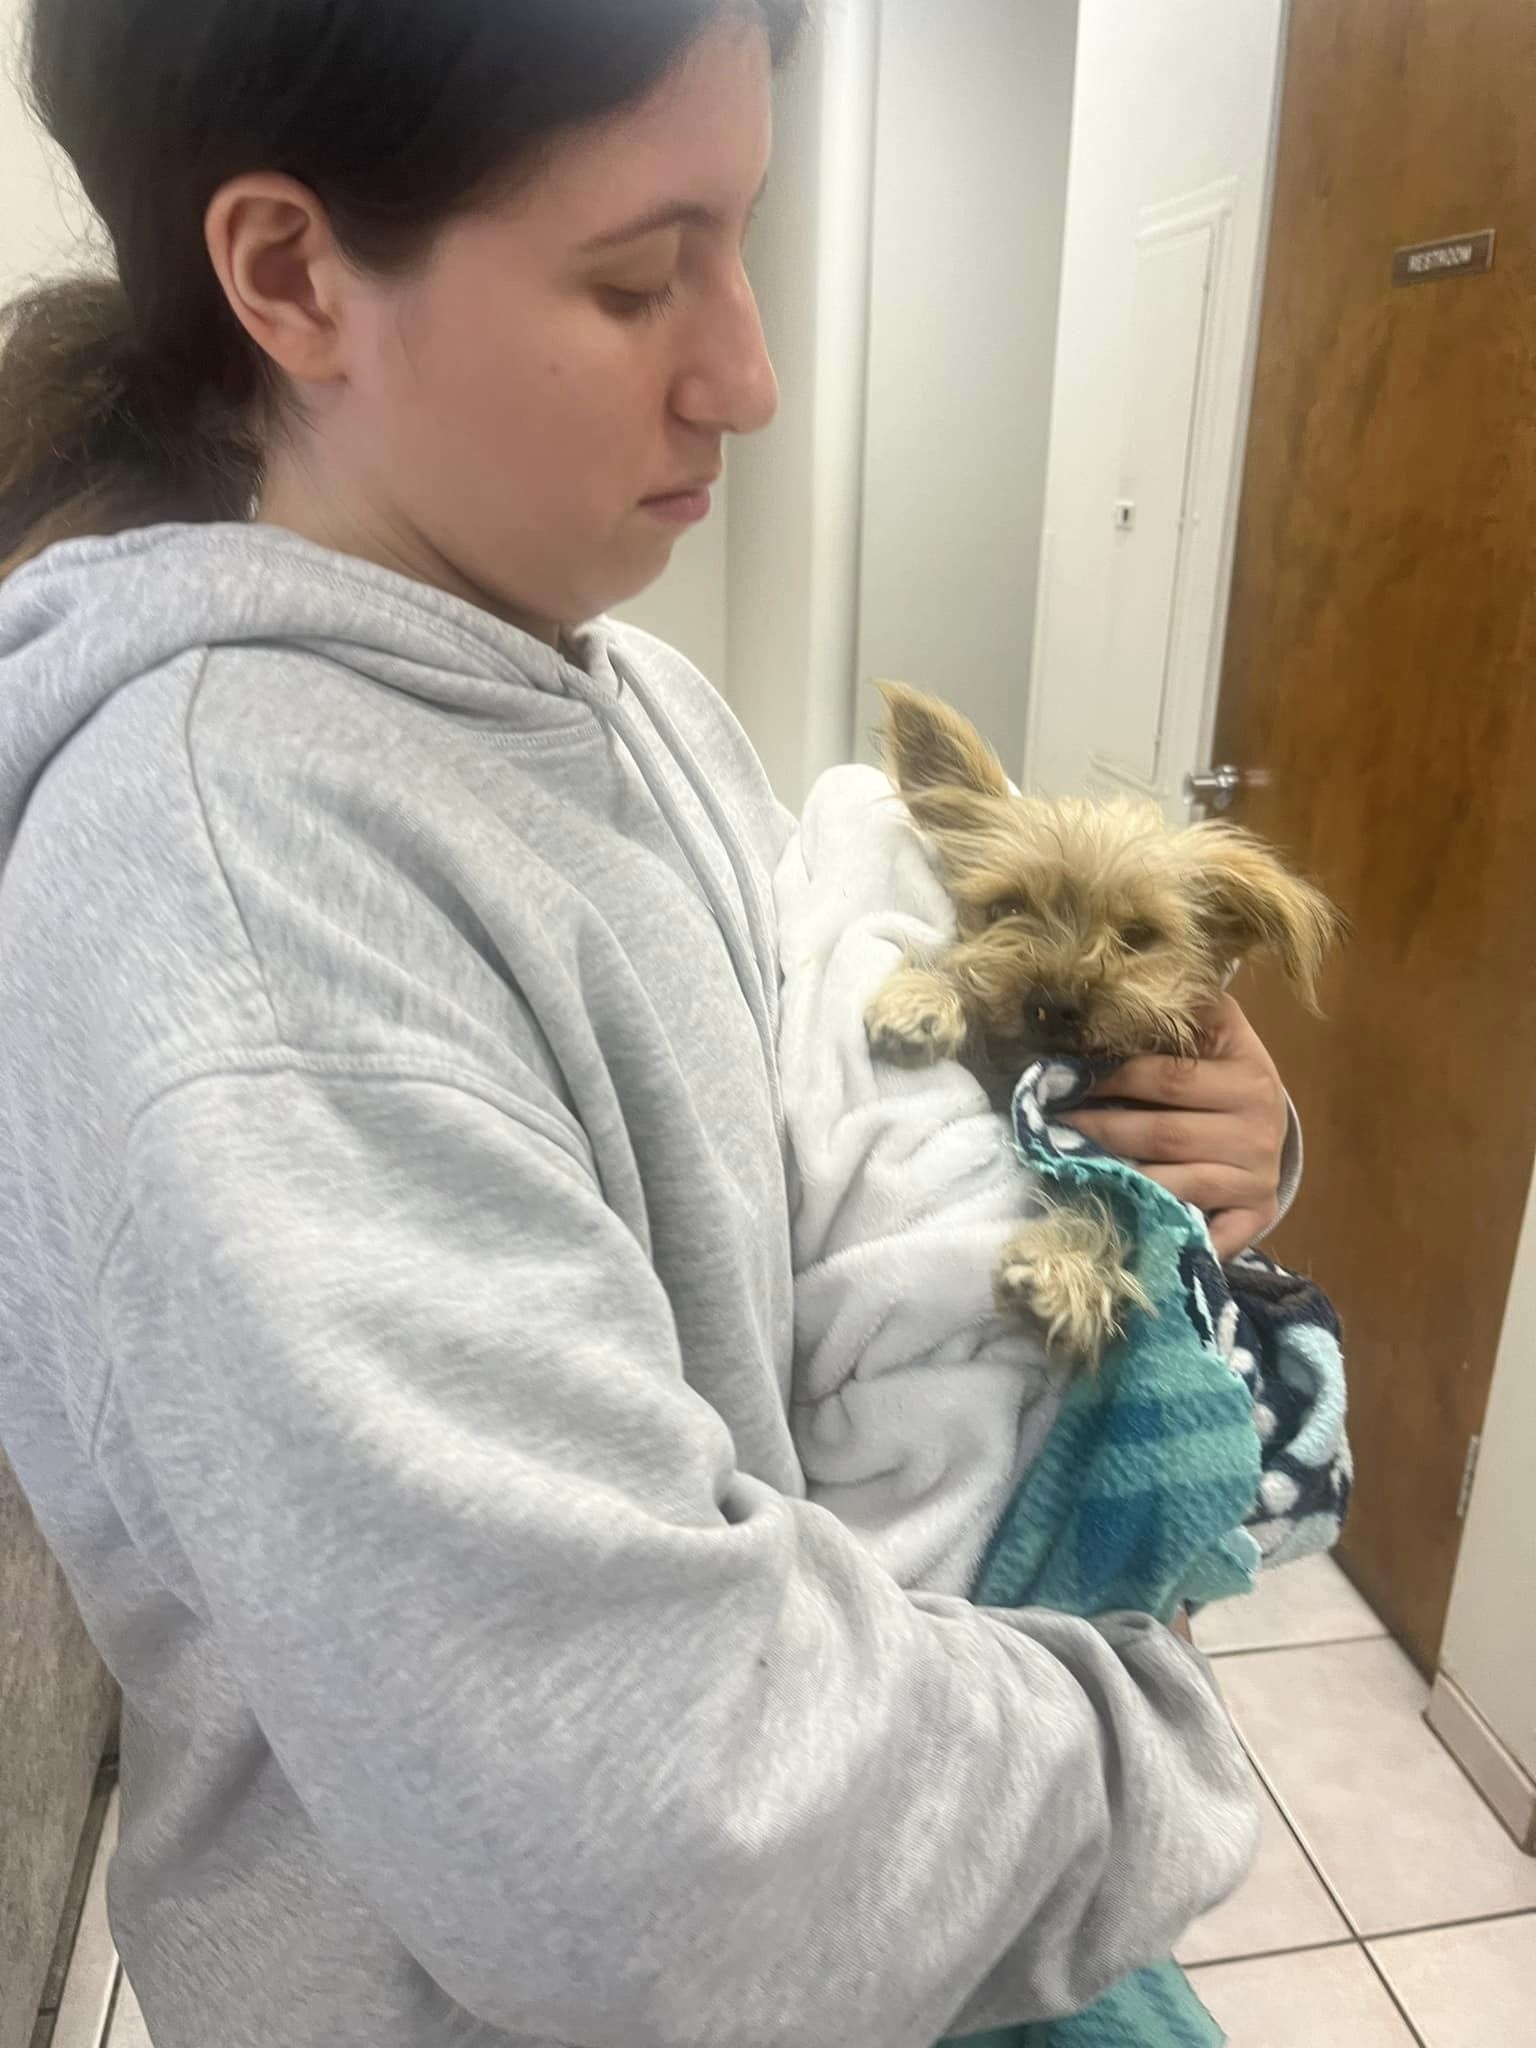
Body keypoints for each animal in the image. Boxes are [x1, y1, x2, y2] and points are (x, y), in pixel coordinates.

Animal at [872, 679, 1343, 1368]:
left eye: (1140, 936)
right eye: (1006, 908)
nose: (1054, 1003)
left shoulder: (1143, 1180)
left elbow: (1112, 1203)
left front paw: (1058, 1273)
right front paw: (920, 1000)